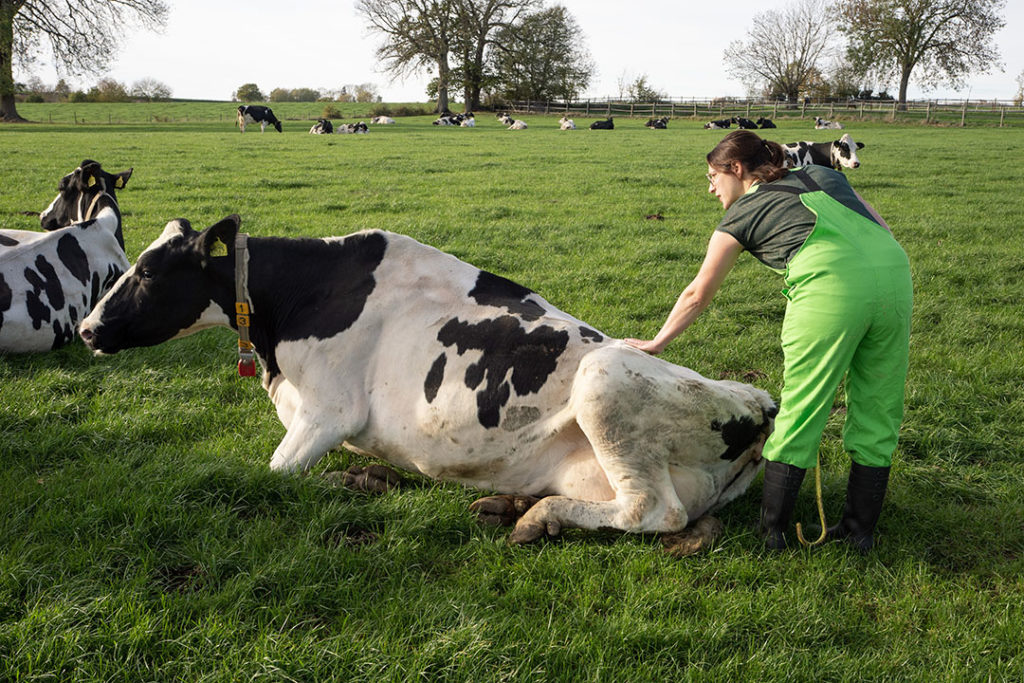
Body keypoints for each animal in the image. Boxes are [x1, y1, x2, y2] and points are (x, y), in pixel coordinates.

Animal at [81, 216, 774, 548]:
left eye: (148, 272)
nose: (86, 329)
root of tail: (759, 403)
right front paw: (364, 479)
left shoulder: (327, 413)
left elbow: (271, 477)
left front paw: (347, 482)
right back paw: (511, 506)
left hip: (605, 380)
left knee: (654, 511)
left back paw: (536, 517)